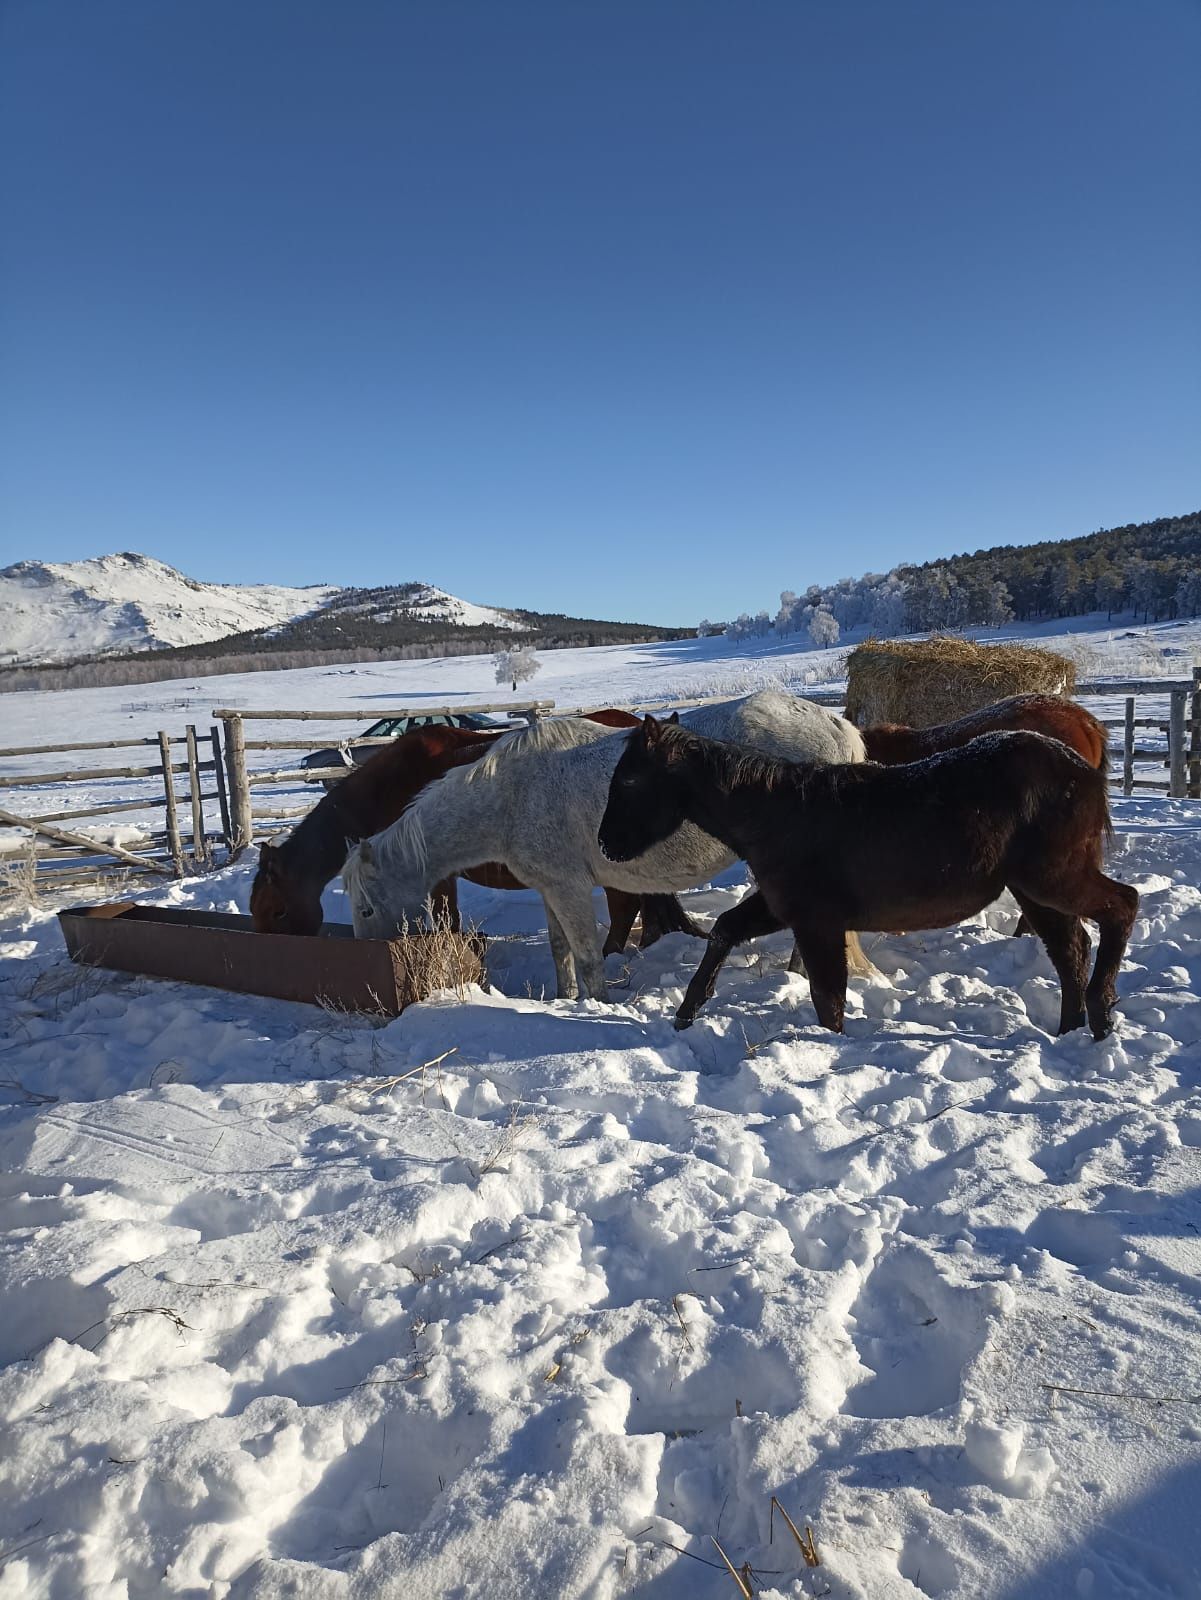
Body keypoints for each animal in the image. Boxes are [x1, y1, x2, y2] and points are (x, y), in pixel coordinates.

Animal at [340, 691, 876, 998]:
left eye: (365, 909)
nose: (370, 964)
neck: (510, 793)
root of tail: (837, 725)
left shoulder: (571, 888)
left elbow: (587, 956)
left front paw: (593, 1006)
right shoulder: (549, 889)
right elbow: (560, 949)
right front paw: (564, 1000)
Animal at [598, 713, 1138, 1036]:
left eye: (629, 780)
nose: (606, 844)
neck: (778, 815)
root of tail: (1084, 769)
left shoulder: (816, 921)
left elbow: (827, 996)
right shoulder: (782, 906)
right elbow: (726, 930)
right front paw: (688, 1011)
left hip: (1054, 878)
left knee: (1122, 906)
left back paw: (1102, 1010)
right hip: (1035, 890)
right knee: (1070, 950)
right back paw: (1071, 1030)